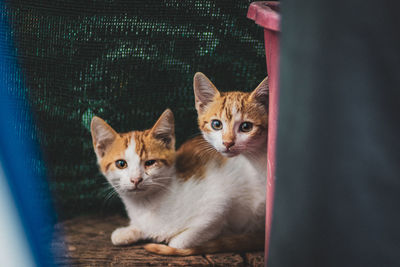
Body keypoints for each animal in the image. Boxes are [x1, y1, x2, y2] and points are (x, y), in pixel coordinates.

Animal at [90, 110, 266, 256]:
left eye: (150, 163)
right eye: (121, 164)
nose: (136, 179)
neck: (146, 204)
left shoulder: (217, 207)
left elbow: (179, 242)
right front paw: (128, 231)